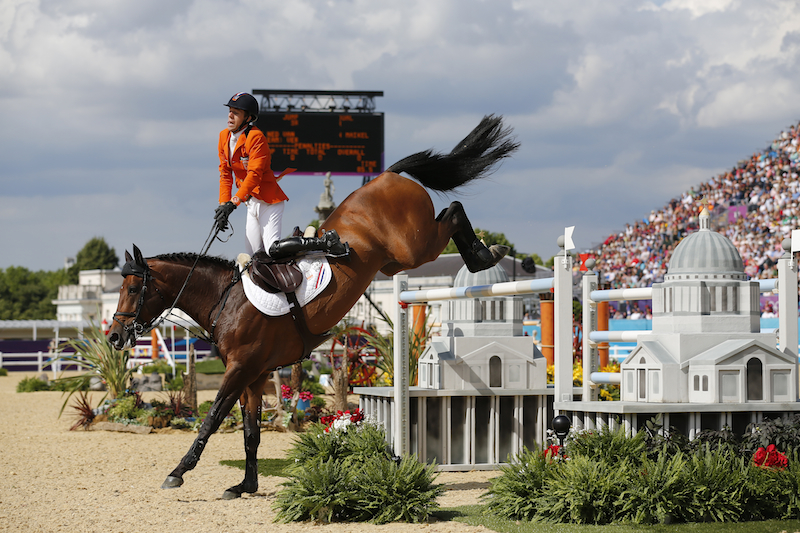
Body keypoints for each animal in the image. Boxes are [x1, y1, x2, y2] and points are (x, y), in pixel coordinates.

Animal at [107, 115, 518, 499]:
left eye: (133, 287)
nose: (113, 336)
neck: (226, 300)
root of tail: (387, 175)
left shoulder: (239, 369)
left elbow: (211, 419)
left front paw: (178, 472)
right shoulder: (254, 374)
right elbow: (251, 432)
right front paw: (245, 485)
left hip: (413, 248)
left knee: (454, 211)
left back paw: (486, 255)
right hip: (393, 263)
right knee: (448, 215)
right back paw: (485, 253)